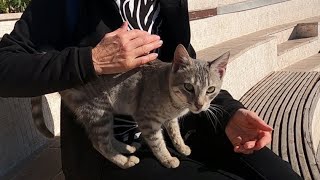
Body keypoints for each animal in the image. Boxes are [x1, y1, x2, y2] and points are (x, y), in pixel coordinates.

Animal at [31, 44, 229, 169]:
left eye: (211, 89)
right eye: (188, 87)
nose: (199, 105)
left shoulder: (170, 119)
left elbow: (175, 133)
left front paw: (181, 147)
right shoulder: (146, 120)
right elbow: (158, 143)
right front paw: (167, 159)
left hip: (104, 113)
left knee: (108, 138)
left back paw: (125, 148)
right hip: (99, 110)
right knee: (99, 144)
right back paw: (124, 161)